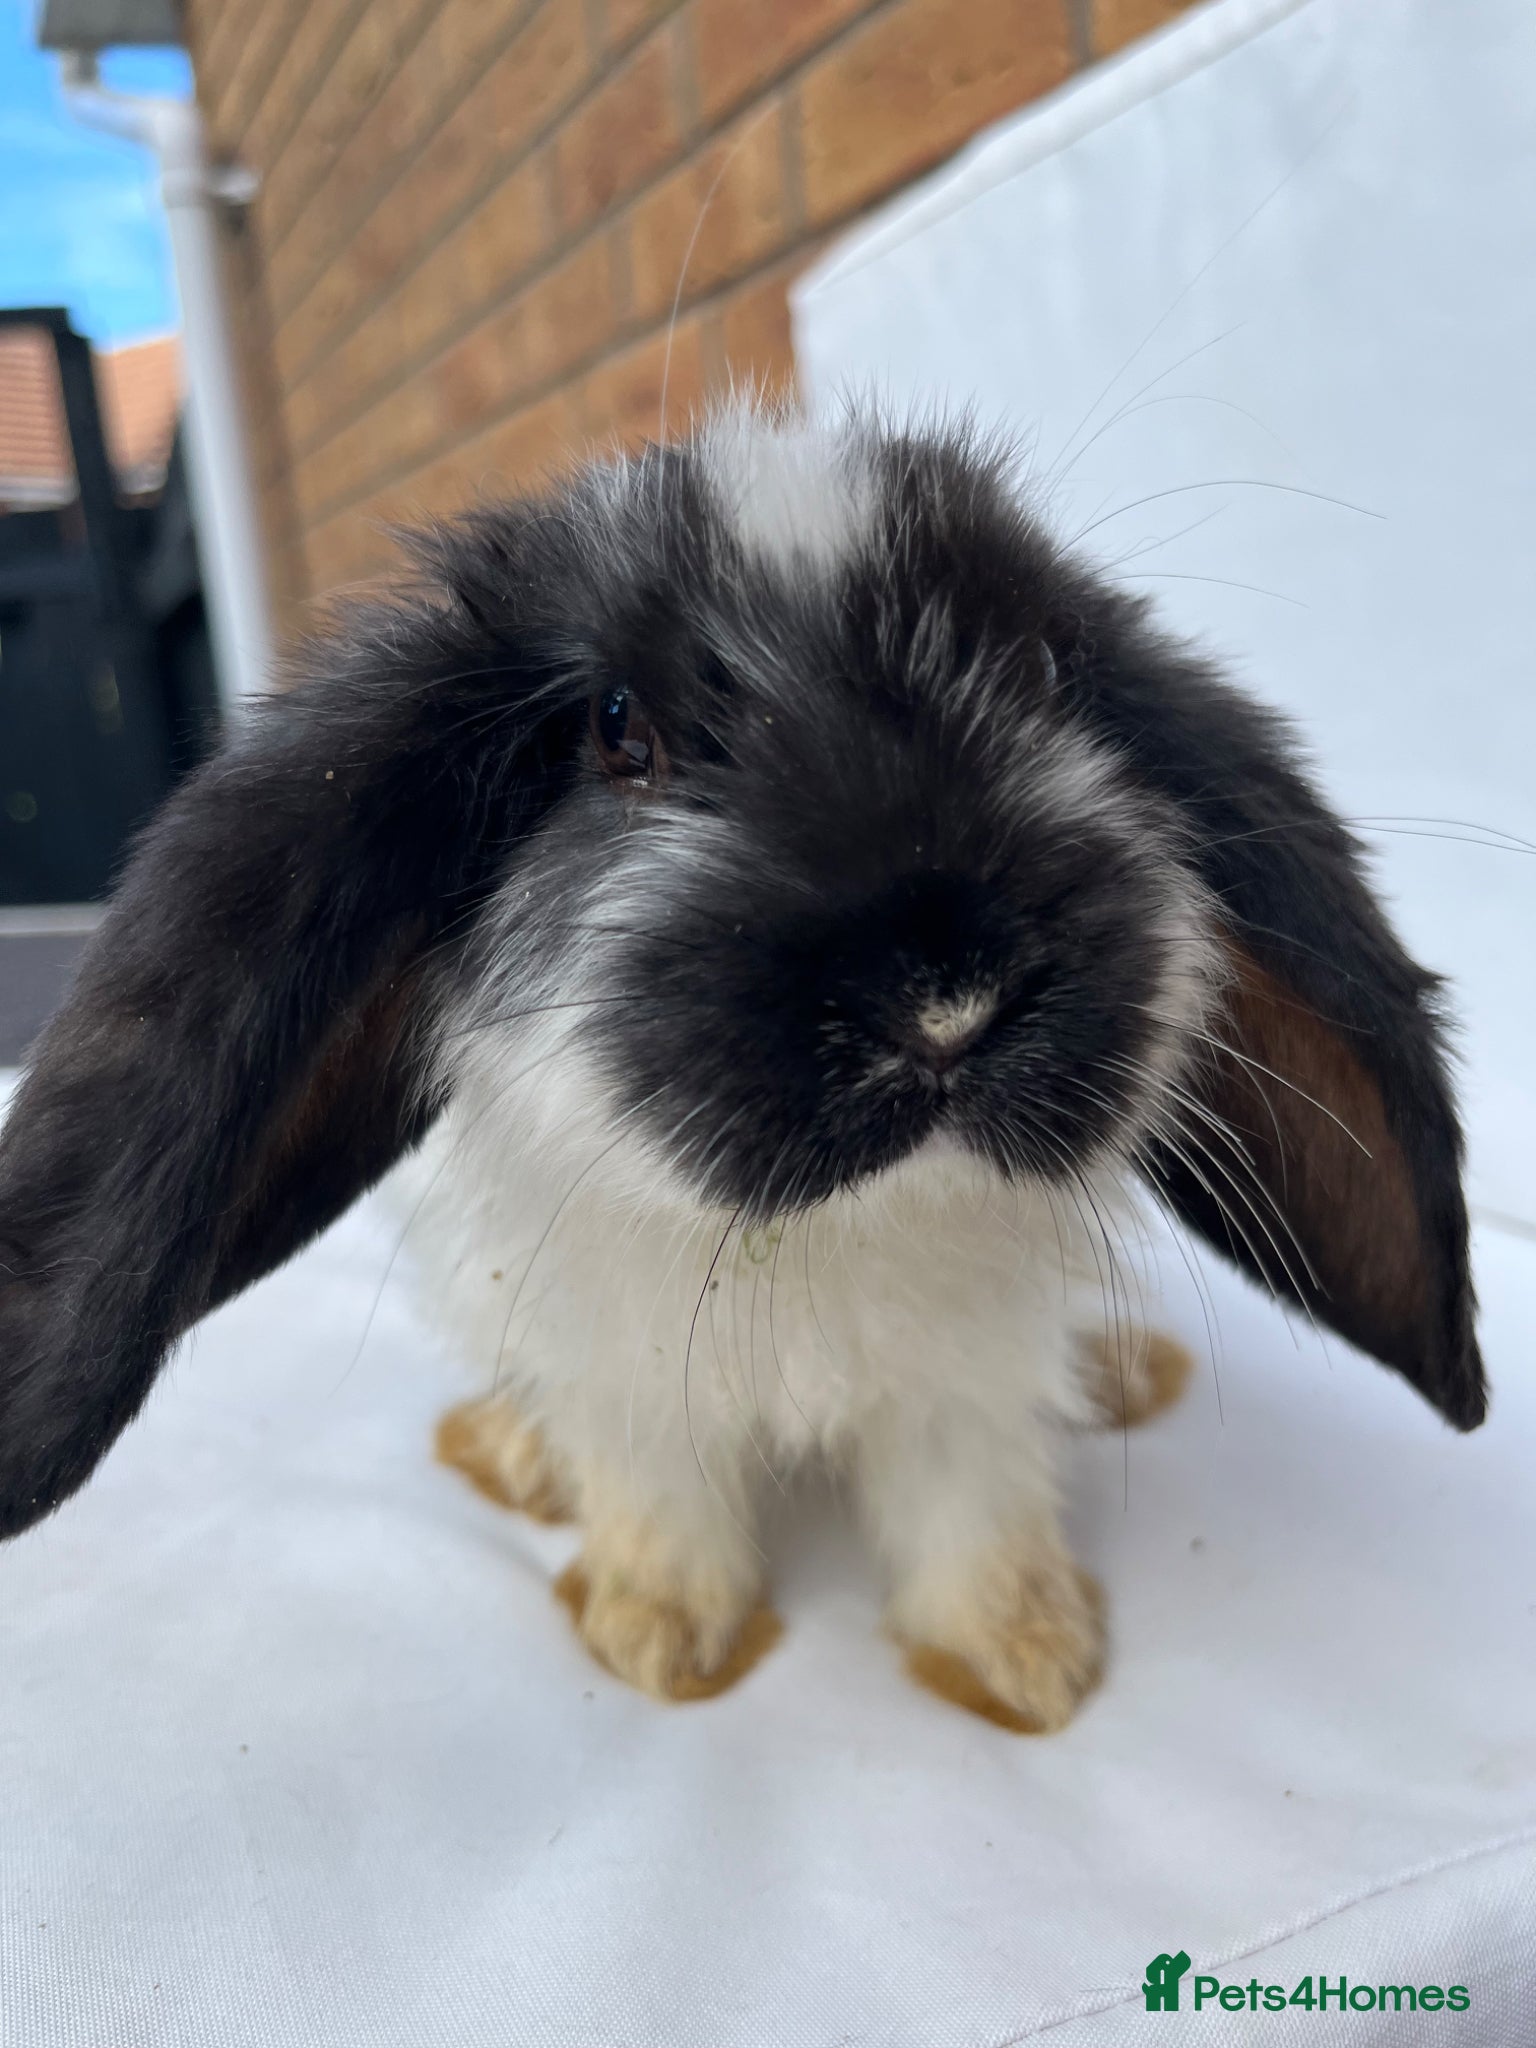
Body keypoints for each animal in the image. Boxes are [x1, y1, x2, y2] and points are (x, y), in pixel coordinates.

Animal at [0, 403, 1484, 1732]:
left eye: (1048, 679)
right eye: (616, 728)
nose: (947, 997)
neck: (828, 1232)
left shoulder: (967, 1371)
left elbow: (973, 1499)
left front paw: (1024, 1662)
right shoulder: (617, 1356)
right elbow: (654, 1481)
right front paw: (662, 1638)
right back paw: (521, 1457)